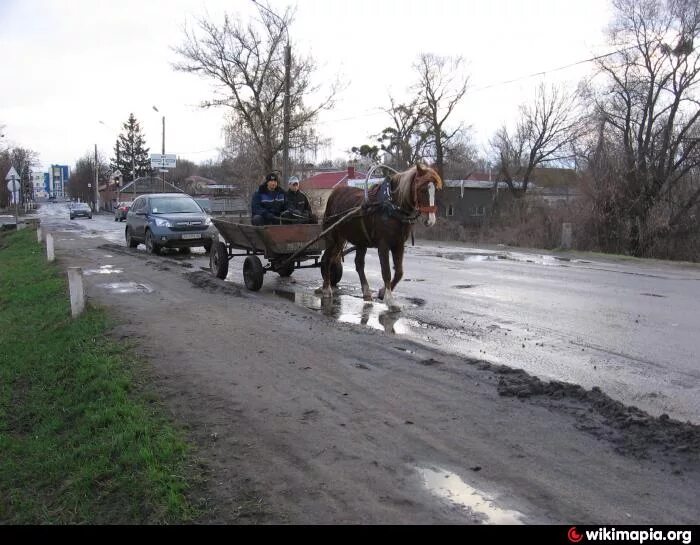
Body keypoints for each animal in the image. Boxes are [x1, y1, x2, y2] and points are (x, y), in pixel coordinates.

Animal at [318, 162, 440, 310]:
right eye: (422, 189)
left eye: (436, 190)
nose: (430, 220)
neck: (392, 207)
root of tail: (334, 194)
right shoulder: (383, 245)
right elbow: (386, 271)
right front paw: (390, 299)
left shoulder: (399, 244)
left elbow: (399, 272)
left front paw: (382, 292)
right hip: (333, 238)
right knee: (327, 259)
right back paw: (326, 288)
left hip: (357, 240)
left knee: (357, 264)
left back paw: (366, 292)